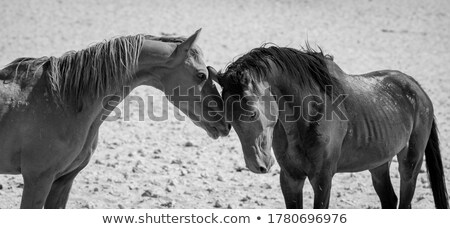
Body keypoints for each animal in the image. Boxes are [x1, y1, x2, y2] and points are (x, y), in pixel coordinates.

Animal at [212, 43, 450, 208]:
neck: (305, 117)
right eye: (229, 120)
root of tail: (416, 88)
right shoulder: (290, 179)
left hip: (410, 163)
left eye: (252, 112)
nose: (258, 165)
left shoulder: (322, 179)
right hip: (379, 163)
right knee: (389, 200)